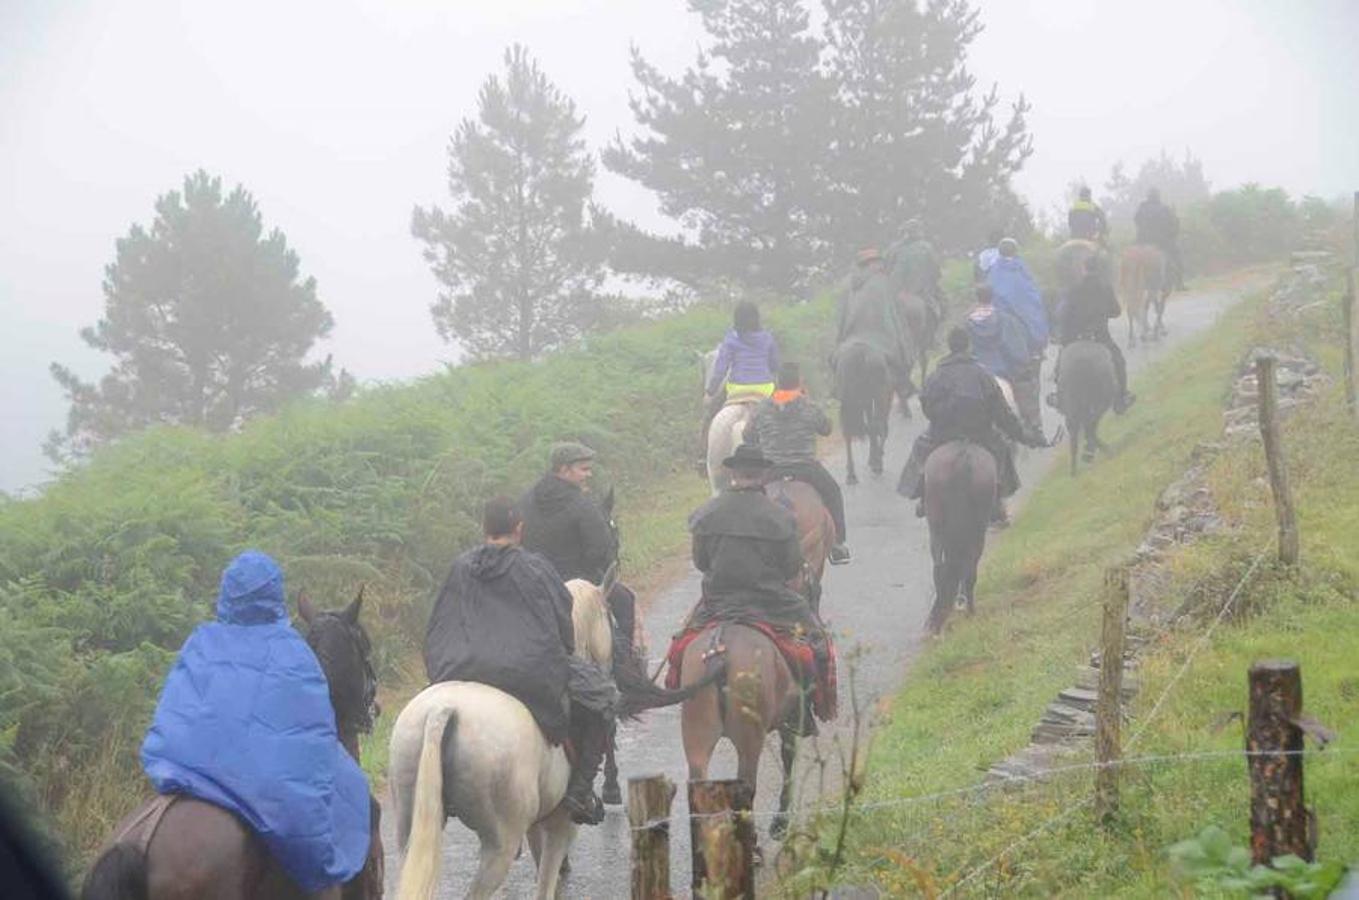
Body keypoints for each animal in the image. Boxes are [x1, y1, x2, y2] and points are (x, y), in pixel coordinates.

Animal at [385, 579, 614, 900]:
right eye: (609, 618)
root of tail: (443, 711)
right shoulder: (560, 826)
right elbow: (546, 885)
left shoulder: (538, 826)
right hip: (500, 846)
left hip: (411, 830)